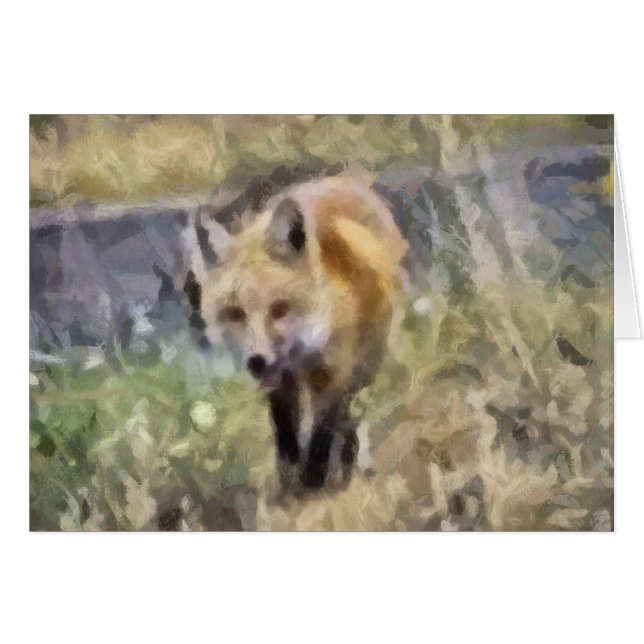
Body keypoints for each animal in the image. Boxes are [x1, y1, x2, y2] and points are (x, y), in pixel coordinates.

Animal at [184, 176, 408, 491]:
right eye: (235, 313)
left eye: (279, 309)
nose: (256, 361)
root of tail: (340, 180)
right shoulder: (279, 385)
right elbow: (285, 432)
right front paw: (290, 477)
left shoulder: (334, 374)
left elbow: (322, 436)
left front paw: (314, 479)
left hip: (368, 362)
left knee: (353, 418)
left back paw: (350, 464)